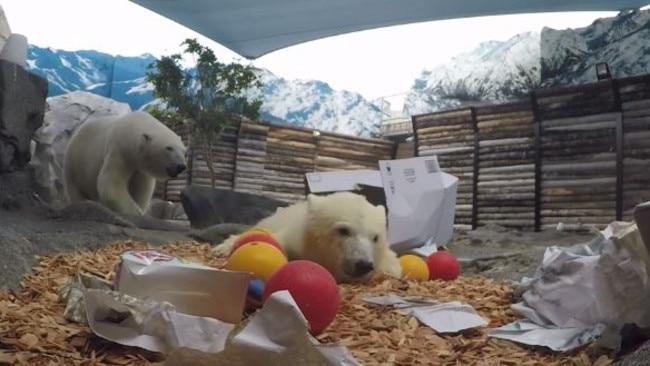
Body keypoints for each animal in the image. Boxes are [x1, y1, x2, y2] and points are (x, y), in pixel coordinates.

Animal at [213, 192, 402, 284]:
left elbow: (393, 266)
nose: (363, 265)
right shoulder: (295, 237)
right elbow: (270, 239)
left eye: (375, 237)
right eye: (343, 230)